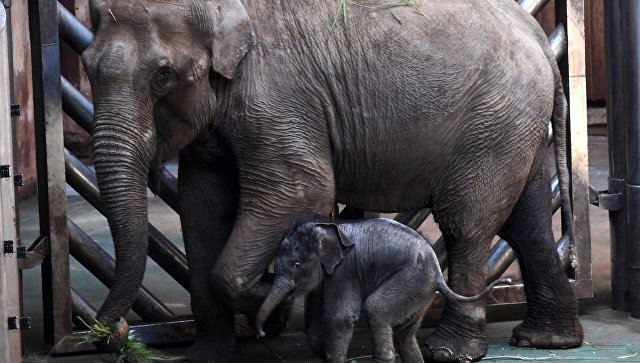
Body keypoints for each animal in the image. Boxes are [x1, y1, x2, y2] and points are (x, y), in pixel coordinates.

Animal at [255, 219, 510, 363]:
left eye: (296, 264)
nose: (261, 333)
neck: (326, 227)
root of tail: (438, 274)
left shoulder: (346, 270)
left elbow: (341, 316)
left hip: (411, 280)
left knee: (376, 310)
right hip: (420, 294)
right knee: (405, 332)